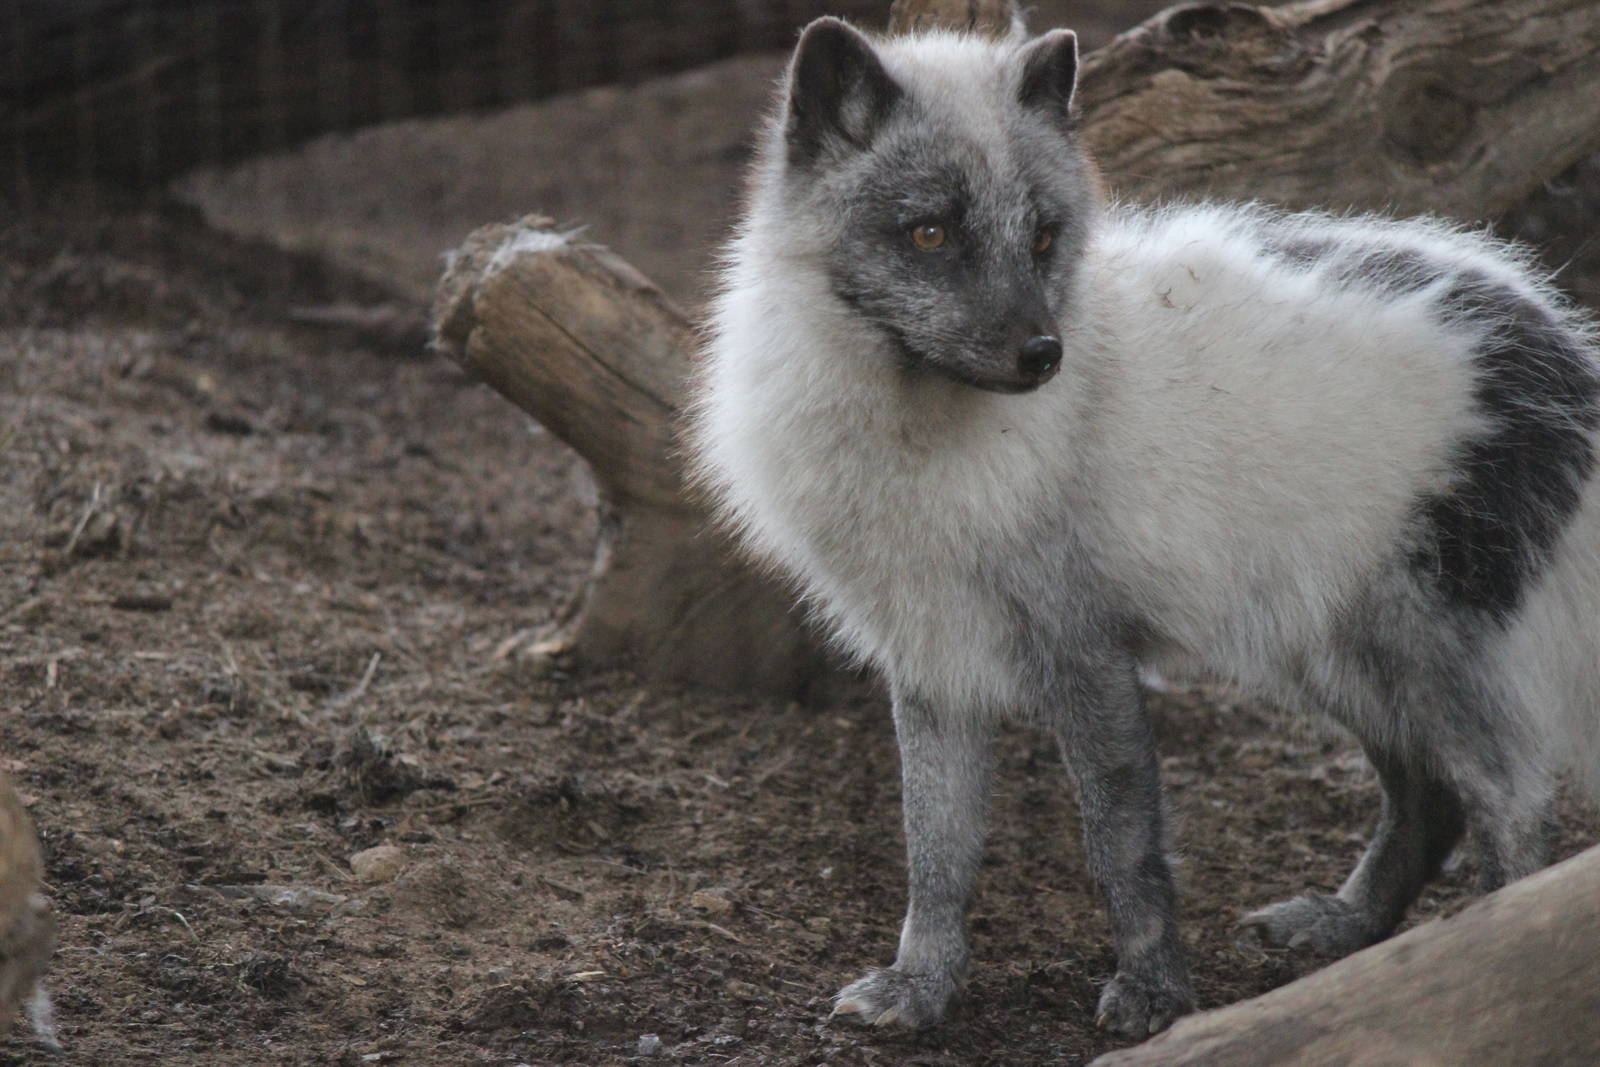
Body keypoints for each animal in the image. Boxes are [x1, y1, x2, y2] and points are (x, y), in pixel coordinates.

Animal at [690, 16, 1600, 1038]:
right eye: (930, 232)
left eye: (1044, 236)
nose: (1042, 355)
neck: (919, 436)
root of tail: (1561, 340)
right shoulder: (932, 661)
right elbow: (936, 849)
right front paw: (920, 987)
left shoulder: (1086, 651)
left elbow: (1121, 846)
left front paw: (1156, 993)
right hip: (1332, 651)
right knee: (1430, 797)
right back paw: (1347, 928)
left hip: (1410, 649)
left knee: (1513, 799)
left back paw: (1494, 937)